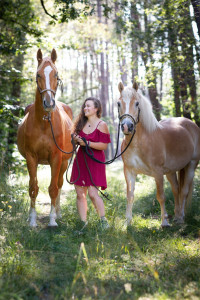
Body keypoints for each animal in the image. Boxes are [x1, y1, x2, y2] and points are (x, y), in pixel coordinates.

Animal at [17, 49, 73, 227]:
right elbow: (33, 188)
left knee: (59, 184)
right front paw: (32, 220)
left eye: (56, 74)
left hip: (64, 162)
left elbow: (53, 189)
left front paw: (52, 220)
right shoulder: (31, 158)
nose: (49, 103)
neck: (43, 123)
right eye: (38, 74)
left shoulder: (56, 157)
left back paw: (58, 213)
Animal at [118, 81, 200, 226]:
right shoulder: (129, 171)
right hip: (171, 171)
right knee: (176, 190)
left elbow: (160, 196)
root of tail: (190, 124)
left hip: (191, 165)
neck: (139, 142)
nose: (127, 126)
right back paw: (177, 216)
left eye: (137, 103)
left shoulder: (157, 172)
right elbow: (130, 196)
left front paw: (164, 222)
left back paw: (181, 217)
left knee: (184, 191)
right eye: (118, 103)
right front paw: (127, 222)